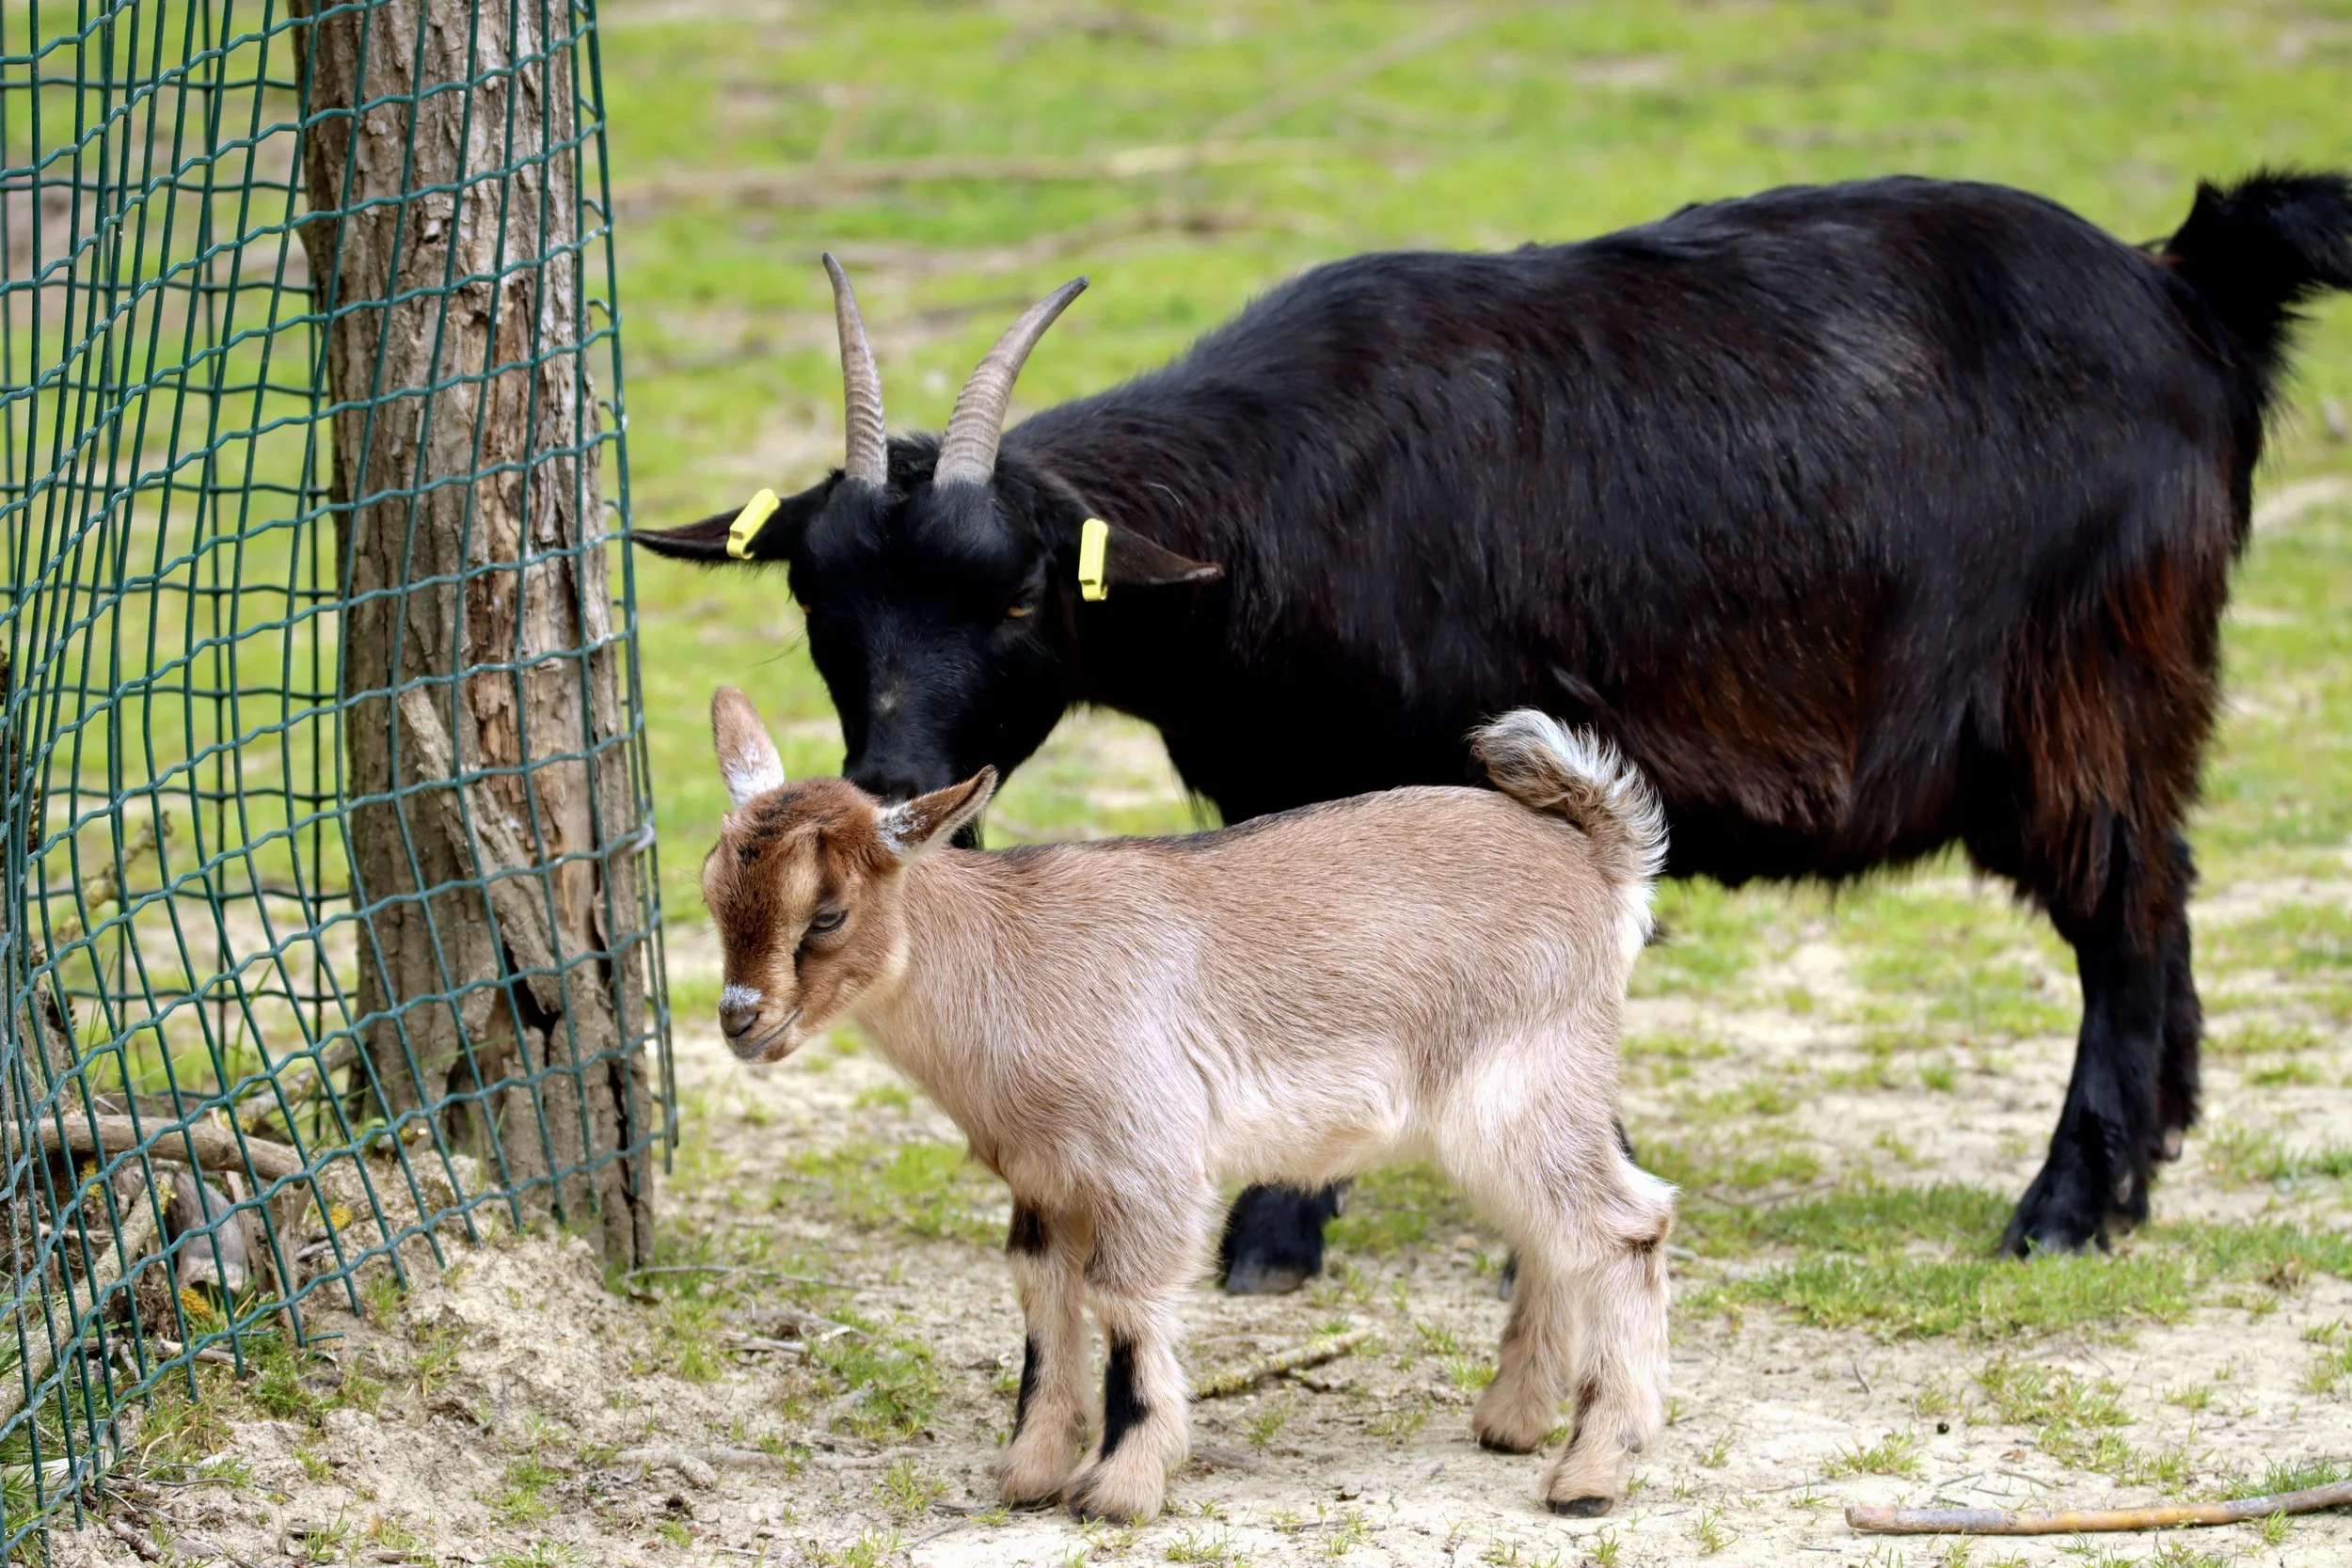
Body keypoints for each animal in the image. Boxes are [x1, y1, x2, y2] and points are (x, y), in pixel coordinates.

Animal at [639, 171, 2352, 1287]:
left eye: (1014, 596)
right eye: (819, 598)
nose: (891, 788)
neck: (1282, 510)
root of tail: (2187, 288)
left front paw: (1287, 1233)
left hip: (2085, 689)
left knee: (2126, 914)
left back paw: (2066, 1206)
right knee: (2165, 898)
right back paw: (2146, 1163)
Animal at [701, 688, 1676, 1523]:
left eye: (828, 914)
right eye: (712, 892)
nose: (741, 1019)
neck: (1006, 959)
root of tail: (1599, 860)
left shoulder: (1146, 1161)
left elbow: (1125, 1303)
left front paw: (1119, 1488)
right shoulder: (1043, 1180)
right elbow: (1043, 1299)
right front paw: (1030, 1472)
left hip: (1523, 1090)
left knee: (1627, 1225)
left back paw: (1589, 1472)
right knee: (1551, 1237)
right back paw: (1513, 1420)